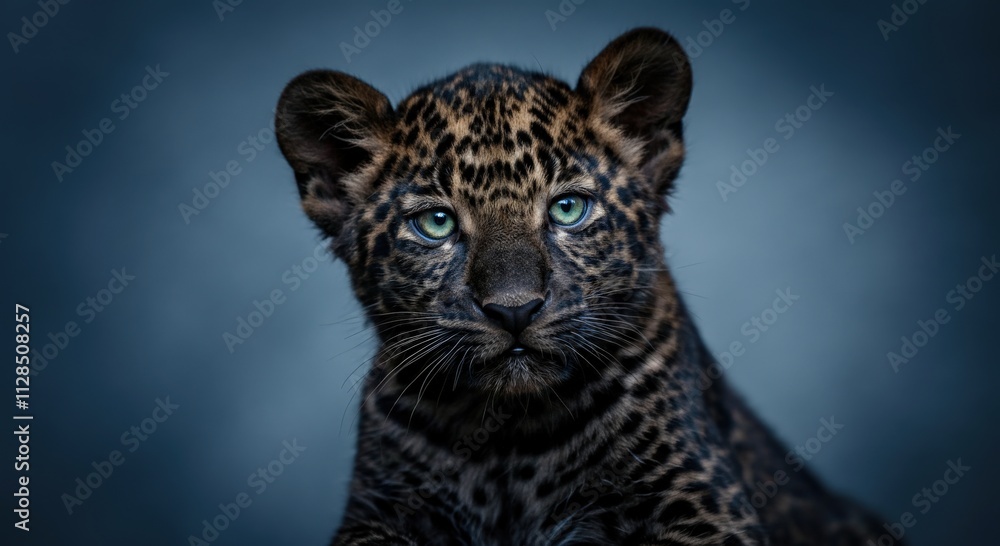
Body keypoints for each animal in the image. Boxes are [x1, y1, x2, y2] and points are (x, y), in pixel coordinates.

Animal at [275, 27, 890, 546]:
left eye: (569, 209)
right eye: (436, 223)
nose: (514, 310)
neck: (505, 445)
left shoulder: (701, 504)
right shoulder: (378, 512)